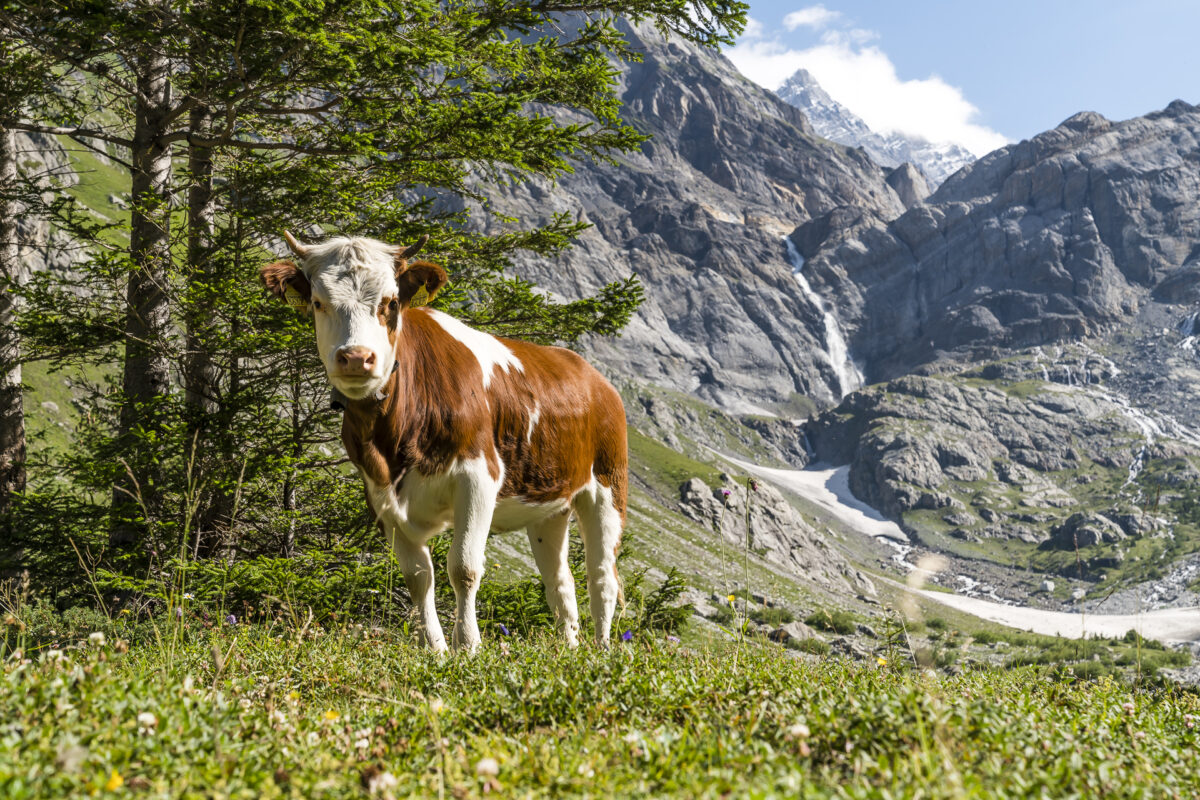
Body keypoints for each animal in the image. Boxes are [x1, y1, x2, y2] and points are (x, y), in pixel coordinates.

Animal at [261, 231, 628, 652]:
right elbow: (419, 577)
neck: (392, 441)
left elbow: (464, 568)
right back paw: (569, 647)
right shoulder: (380, 495)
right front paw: (434, 648)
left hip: (606, 487)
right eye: (319, 303)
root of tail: (590, 374)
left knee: (602, 576)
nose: (355, 357)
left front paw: (467, 645)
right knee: (559, 579)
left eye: (389, 303)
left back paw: (602, 649)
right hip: (549, 506)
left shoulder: (478, 477)